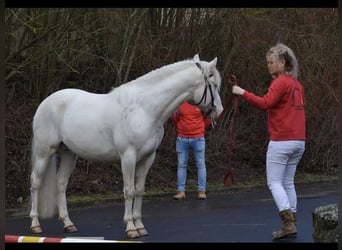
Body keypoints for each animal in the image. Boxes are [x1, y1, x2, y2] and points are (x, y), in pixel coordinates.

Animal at [28, 54, 222, 238]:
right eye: (213, 83)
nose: (219, 111)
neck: (144, 108)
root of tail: (45, 102)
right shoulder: (128, 156)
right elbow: (129, 190)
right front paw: (130, 228)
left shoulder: (147, 158)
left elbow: (139, 190)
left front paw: (140, 226)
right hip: (45, 151)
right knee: (36, 181)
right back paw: (35, 224)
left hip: (69, 153)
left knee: (61, 183)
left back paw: (68, 224)